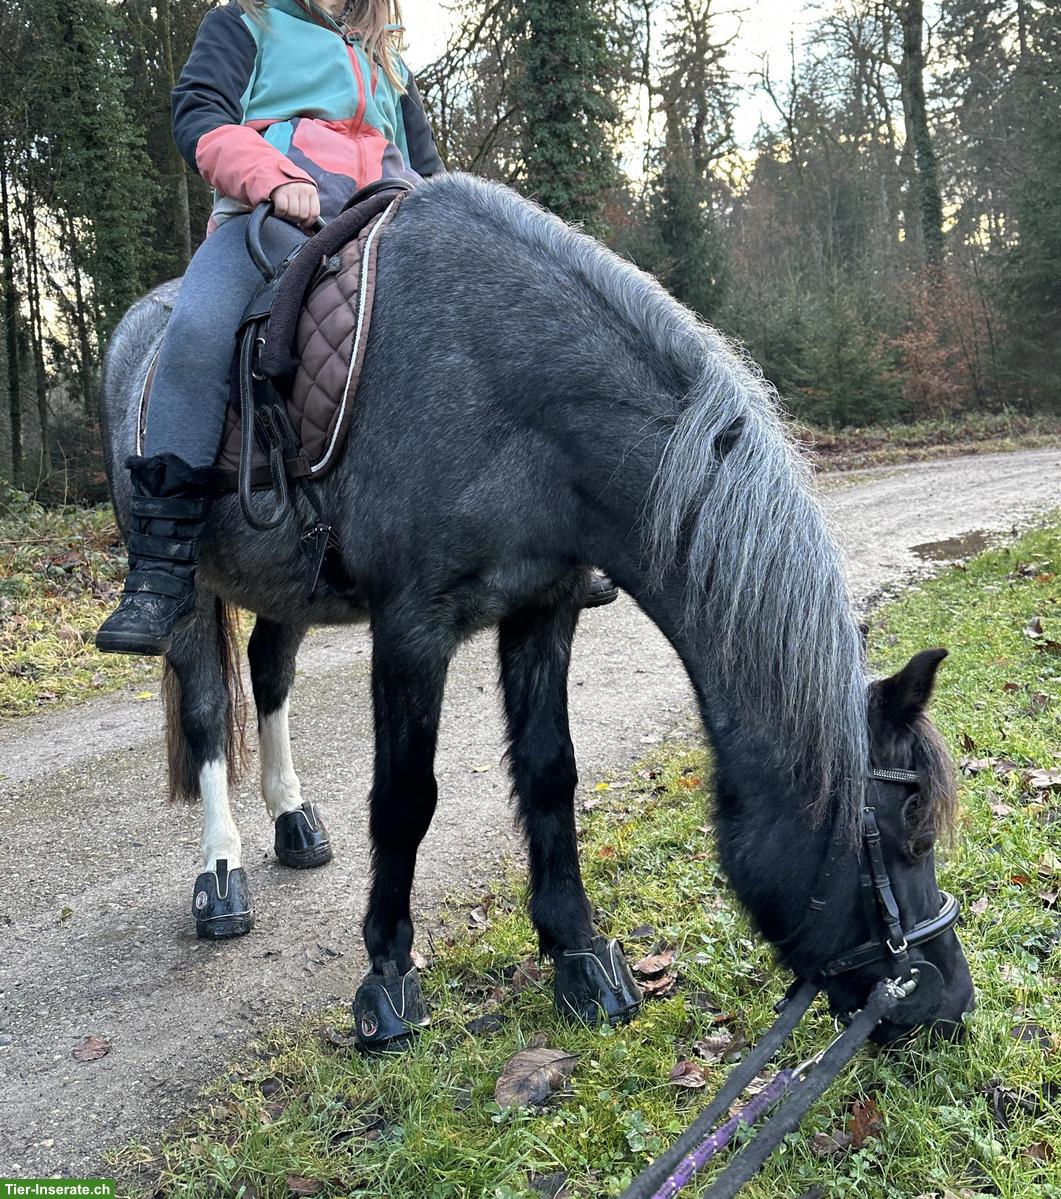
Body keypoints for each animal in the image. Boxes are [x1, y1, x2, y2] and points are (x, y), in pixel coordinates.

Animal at [100, 171, 974, 1046]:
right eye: (906, 830)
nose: (948, 1002)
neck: (506, 392)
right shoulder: (411, 629)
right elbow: (405, 798)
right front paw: (387, 973)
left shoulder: (544, 608)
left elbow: (551, 773)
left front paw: (577, 951)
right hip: (192, 589)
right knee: (208, 709)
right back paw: (221, 871)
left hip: (287, 588)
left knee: (270, 672)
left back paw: (293, 819)